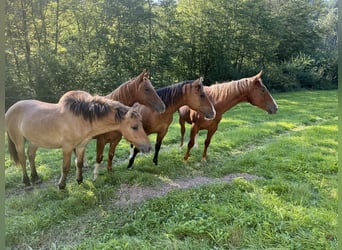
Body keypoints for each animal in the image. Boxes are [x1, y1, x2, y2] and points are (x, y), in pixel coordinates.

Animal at [5, 90, 151, 189]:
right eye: (134, 127)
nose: (149, 147)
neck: (80, 119)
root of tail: (10, 109)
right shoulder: (67, 147)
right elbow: (65, 167)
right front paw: (62, 185)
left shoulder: (81, 146)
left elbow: (79, 163)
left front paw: (80, 180)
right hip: (19, 141)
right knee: (23, 159)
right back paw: (27, 182)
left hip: (34, 141)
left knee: (31, 156)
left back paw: (35, 178)